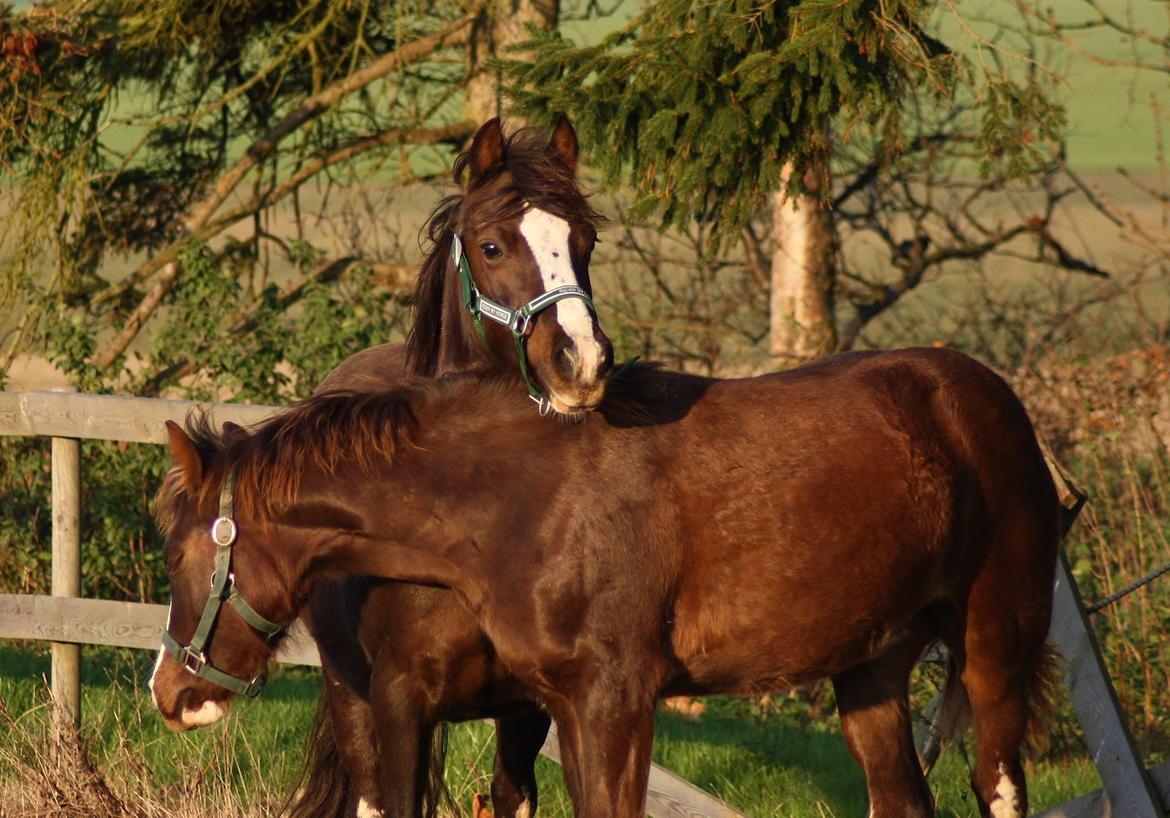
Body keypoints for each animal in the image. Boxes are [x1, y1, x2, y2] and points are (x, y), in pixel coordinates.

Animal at [150, 351, 1067, 818]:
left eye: (180, 555)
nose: (171, 694)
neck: (519, 498)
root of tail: (985, 395)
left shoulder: (615, 702)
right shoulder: (557, 705)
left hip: (994, 652)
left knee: (999, 787)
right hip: (872, 670)